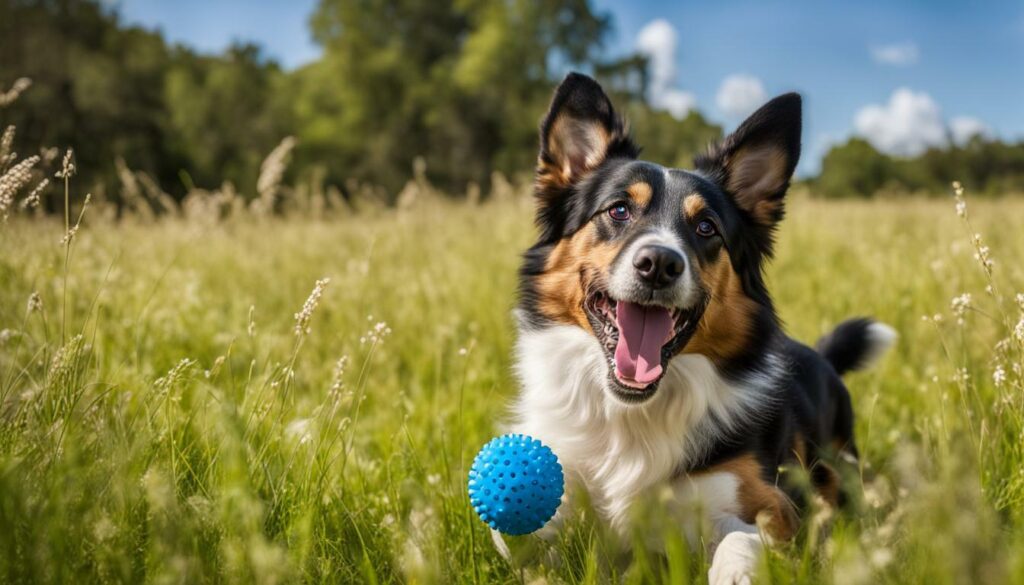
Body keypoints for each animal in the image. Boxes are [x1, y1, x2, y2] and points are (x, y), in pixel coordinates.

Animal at [505, 74, 897, 585]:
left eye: (706, 226)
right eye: (617, 210)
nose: (659, 264)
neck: (633, 413)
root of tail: (821, 354)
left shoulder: (771, 507)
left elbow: (739, 542)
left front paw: (735, 572)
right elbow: (529, 537)